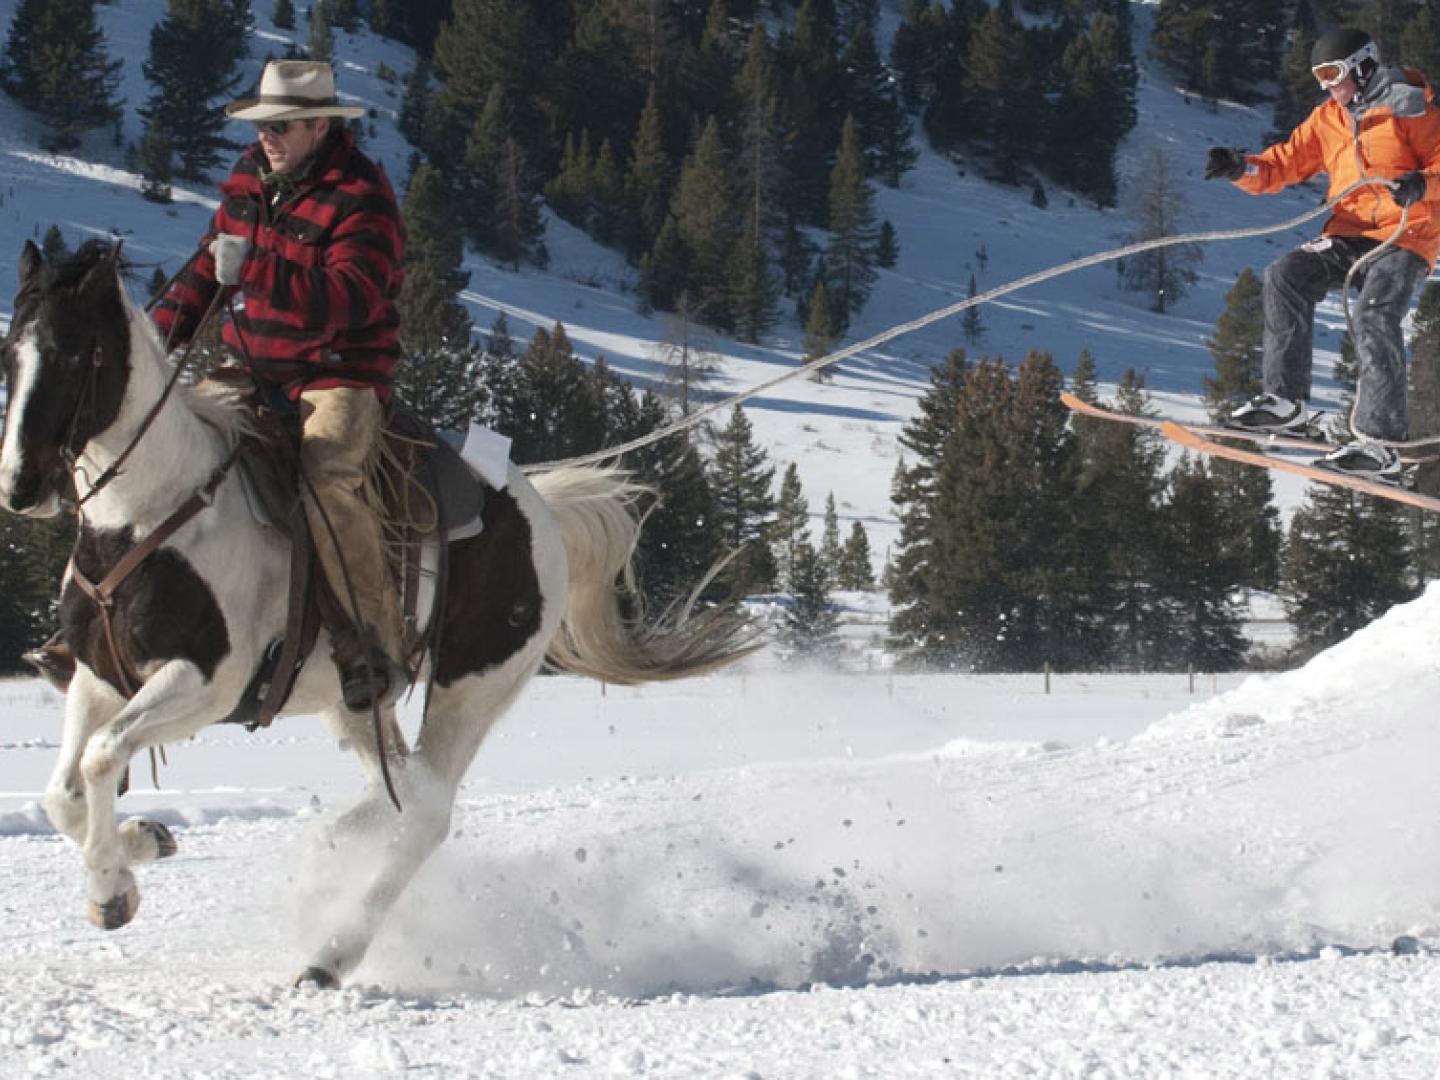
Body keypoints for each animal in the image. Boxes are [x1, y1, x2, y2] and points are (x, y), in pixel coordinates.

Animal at [0, 238, 754, 987]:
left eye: (77, 353)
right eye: (11, 353)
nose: (21, 486)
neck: (151, 517)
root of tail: (539, 503)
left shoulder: (206, 683)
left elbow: (100, 758)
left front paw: (111, 891)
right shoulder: (98, 677)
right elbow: (63, 790)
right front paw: (141, 846)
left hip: (473, 685)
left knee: (427, 809)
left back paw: (330, 952)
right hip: (357, 700)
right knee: (401, 787)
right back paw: (332, 843)